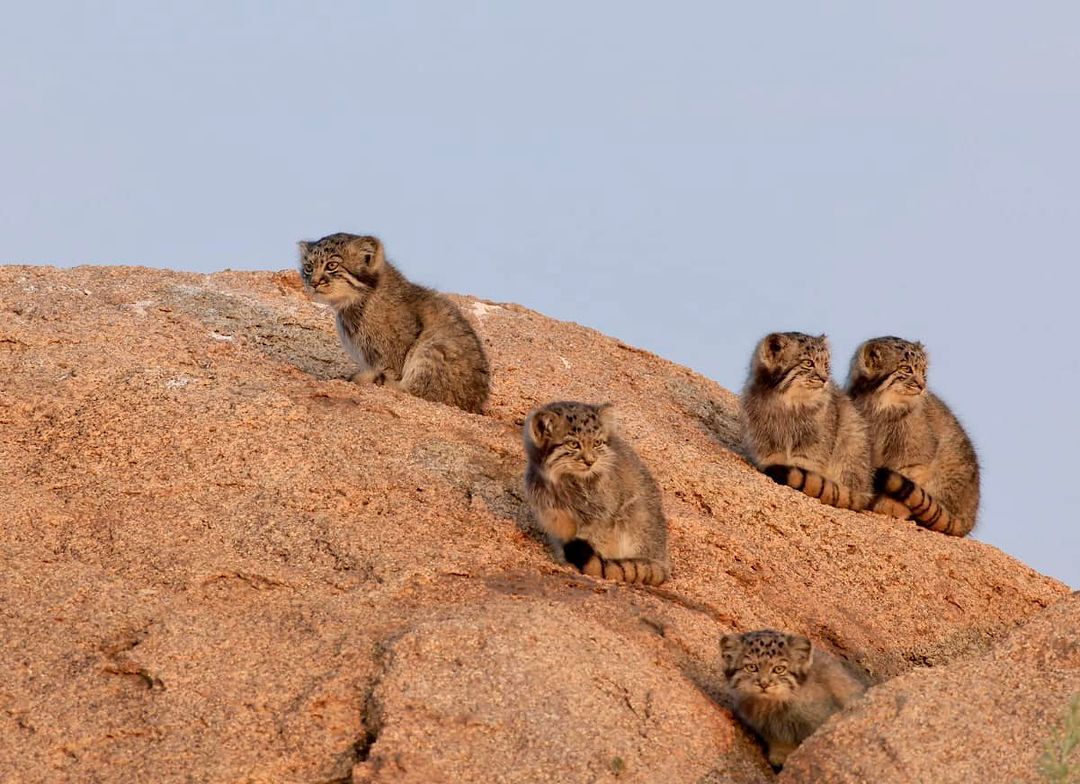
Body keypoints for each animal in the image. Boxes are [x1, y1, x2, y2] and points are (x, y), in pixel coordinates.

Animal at [302, 233, 492, 414]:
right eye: (308, 268)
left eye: (332, 265)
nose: (313, 283)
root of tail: (476, 405)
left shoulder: (393, 356)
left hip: (434, 348)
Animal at [522, 406, 665, 583]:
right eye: (573, 444)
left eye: (597, 443)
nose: (590, 461)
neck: (563, 480)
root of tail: (663, 560)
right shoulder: (553, 516)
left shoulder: (599, 516)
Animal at [743, 332, 868, 511]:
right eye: (809, 363)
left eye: (826, 365)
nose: (825, 379)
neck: (787, 403)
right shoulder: (766, 439)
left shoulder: (813, 444)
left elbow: (805, 466)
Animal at [846, 334, 984, 537]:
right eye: (906, 368)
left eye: (923, 370)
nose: (922, 385)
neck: (879, 407)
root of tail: (969, 519)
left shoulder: (916, 452)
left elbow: (906, 474)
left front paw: (890, 506)